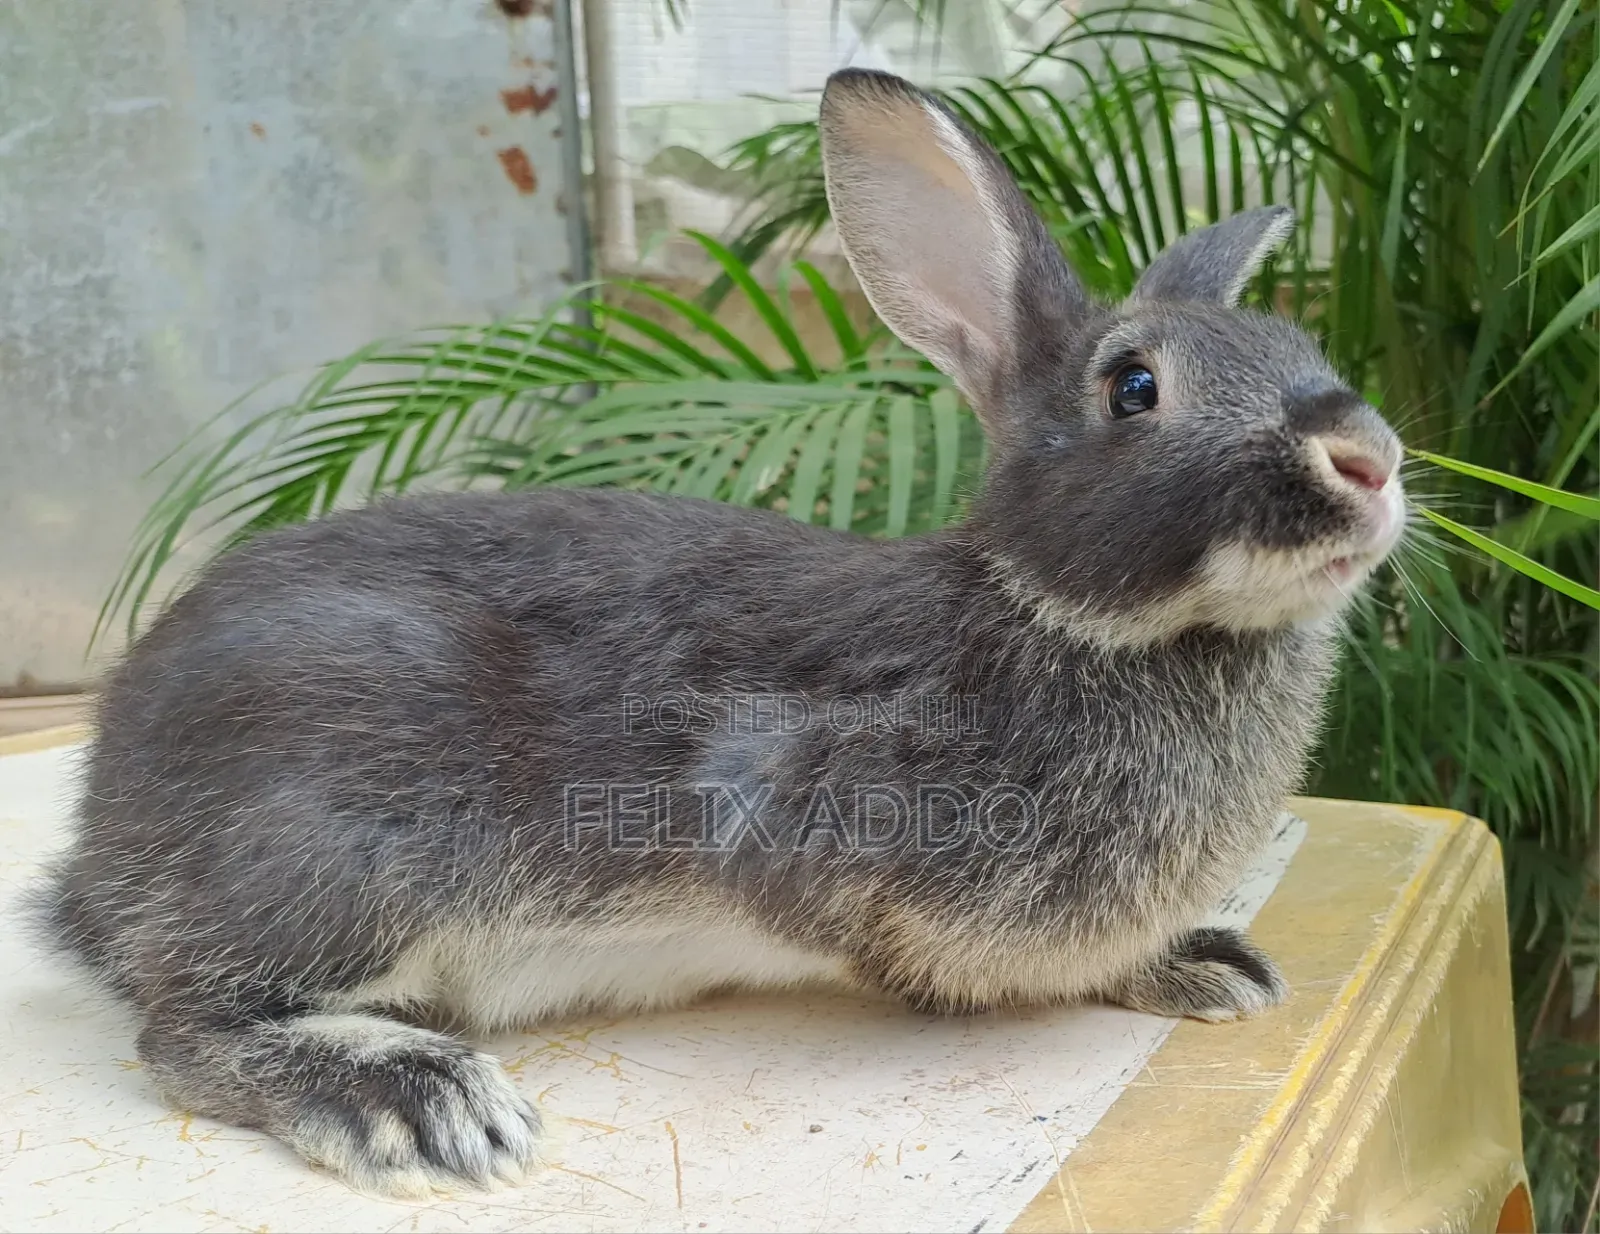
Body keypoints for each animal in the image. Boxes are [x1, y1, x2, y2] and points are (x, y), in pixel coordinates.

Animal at [32, 68, 1406, 1199]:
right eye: (1133, 387)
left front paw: (1204, 962)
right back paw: (413, 1101)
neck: (1055, 613)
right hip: (344, 843)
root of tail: (99, 839)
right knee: (184, 1029)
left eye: (1303, 347)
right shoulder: (825, 831)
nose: (1369, 456)